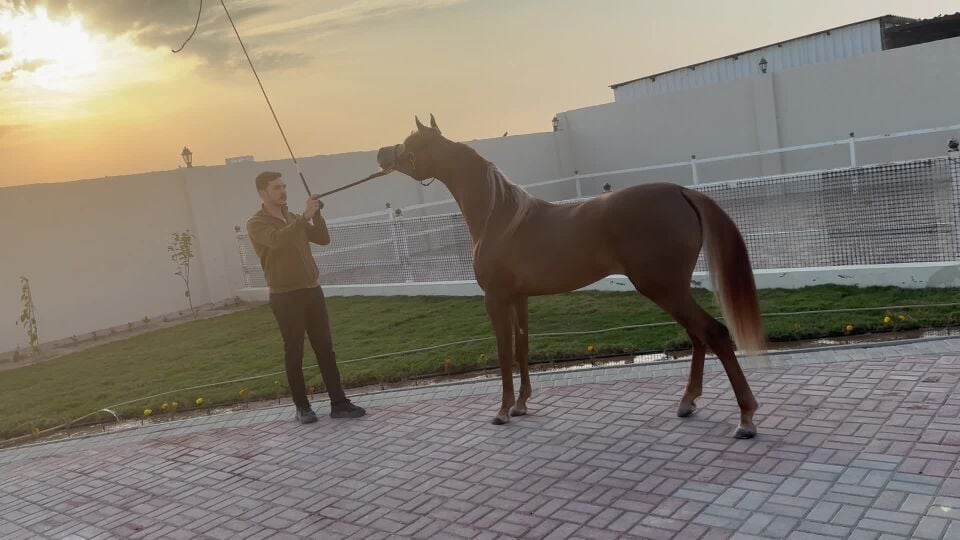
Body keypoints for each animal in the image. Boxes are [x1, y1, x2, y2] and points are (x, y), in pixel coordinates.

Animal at [375, 115, 766, 439]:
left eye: (411, 141)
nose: (381, 153)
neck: (498, 217)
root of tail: (681, 191)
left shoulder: (496, 299)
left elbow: (503, 352)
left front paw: (503, 410)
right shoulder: (519, 298)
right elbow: (521, 347)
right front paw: (521, 404)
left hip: (664, 288)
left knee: (714, 333)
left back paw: (745, 418)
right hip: (672, 289)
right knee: (698, 336)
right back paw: (687, 403)